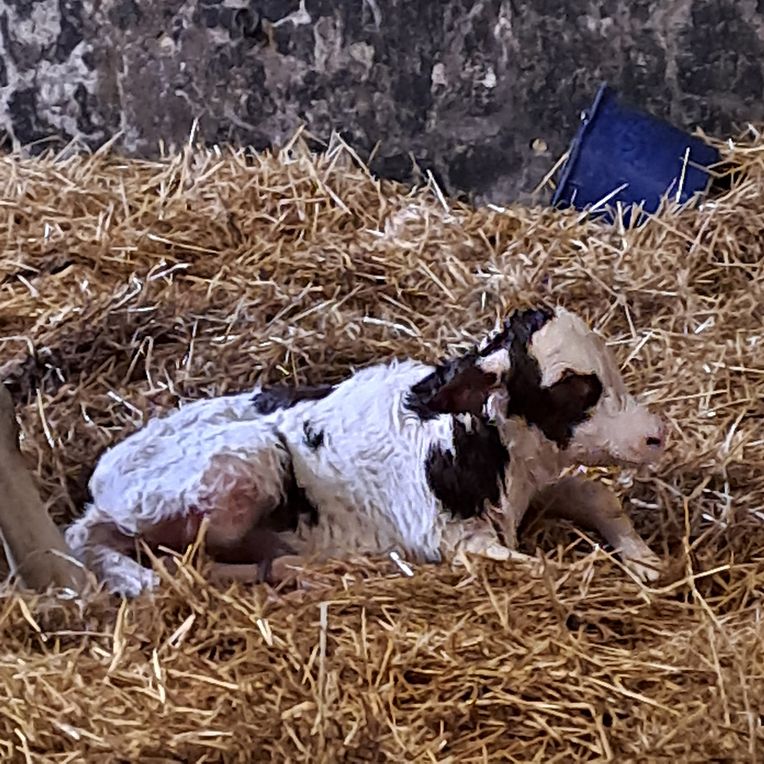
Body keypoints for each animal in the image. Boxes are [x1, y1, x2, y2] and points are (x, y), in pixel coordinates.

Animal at [65, 306, 667, 597]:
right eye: (574, 387)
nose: (655, 435)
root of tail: (102, 477)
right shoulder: (451, 538)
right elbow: (542, 569)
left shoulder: (530, 487)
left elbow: (594, 494)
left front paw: (647, 561)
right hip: (242, 466)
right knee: (134, 555)